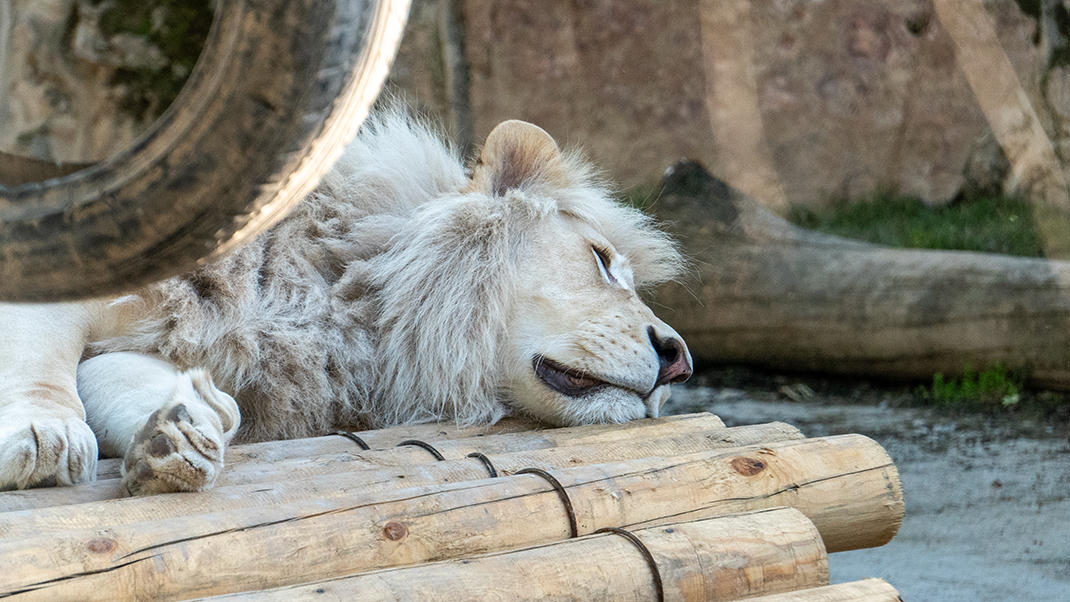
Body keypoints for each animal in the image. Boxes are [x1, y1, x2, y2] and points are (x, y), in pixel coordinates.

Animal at [0, 110, 693, 496]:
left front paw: (182, 435)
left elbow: (124, 379)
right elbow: (37, 353)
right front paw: (45, 438)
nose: (680, 360)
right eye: (601, 260)